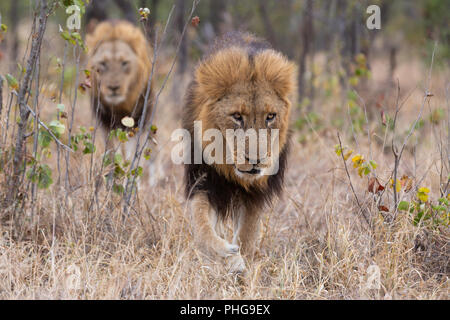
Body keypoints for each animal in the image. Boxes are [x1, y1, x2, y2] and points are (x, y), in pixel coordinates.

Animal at [181, 31, 298, 272]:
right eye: (237, 116)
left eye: (270, 116)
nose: (256, 160)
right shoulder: (203, 182)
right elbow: (202, 227)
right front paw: (228, 255)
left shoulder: (257, 192)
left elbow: (247, 234)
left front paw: (242, 264)